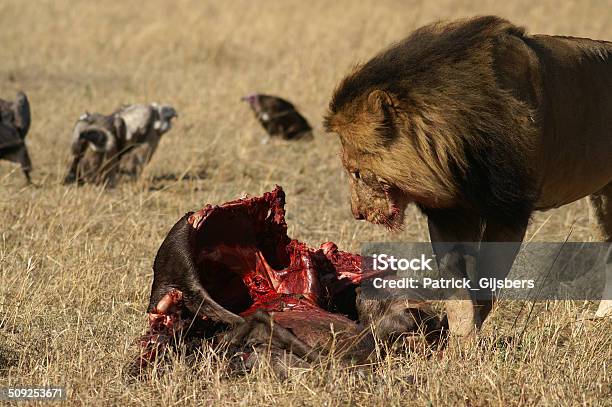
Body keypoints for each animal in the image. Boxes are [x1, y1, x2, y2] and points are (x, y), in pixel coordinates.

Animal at [326, 15, 612, 340]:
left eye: (356, 172)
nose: (357, 213)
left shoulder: (508, 212)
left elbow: (486, 283)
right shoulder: (448, 214)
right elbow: (457, 289)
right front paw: (459, 340)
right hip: (602, 199)